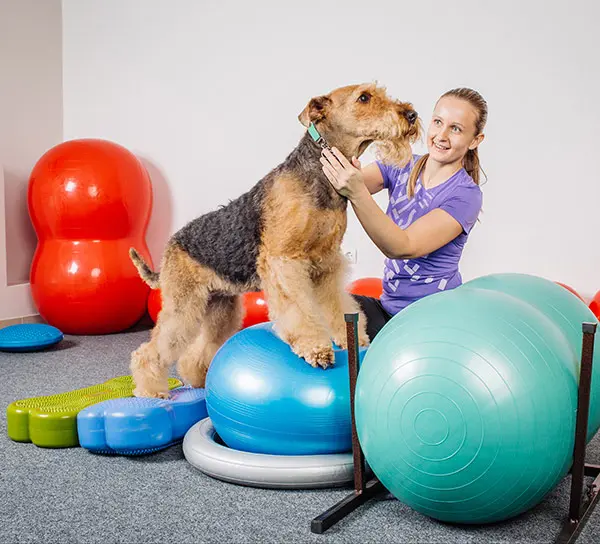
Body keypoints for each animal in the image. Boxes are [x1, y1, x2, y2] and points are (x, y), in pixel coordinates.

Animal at [129, 83, 420, 398]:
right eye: (364, 97)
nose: (411, 115)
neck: (319, 173)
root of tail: (170, 248)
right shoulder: (284, 260)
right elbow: (299, 309)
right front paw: (317, 349)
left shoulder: (326, 263)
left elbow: (337, 305)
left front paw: (349, 339)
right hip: (183, 306)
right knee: (150, 350)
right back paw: (152, 390)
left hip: (220, 307)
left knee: (197, 351)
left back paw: (195, 378)